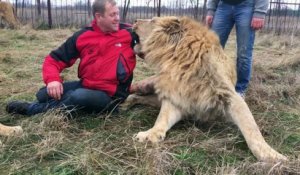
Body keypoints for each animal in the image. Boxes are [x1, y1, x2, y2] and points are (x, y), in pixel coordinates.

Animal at [125, 16, 288, 163]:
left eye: (152, 20)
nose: (134, 21)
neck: (179, 61)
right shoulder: (176, 97)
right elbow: (162, 118)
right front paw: (149, 134)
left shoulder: (231, 96)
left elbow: (252, 129)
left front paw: (273, 156)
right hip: (152, 85)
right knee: (135, 93)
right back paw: (126, 101)